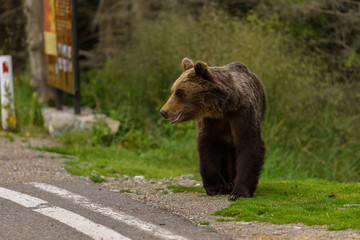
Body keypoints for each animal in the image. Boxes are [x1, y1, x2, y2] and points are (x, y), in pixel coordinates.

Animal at [160, 58, 264, 201]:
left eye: (179, 93)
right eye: (173, 90)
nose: (163, 112)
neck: (224, 108)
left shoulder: (242, 114)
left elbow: (248, 145)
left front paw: (238, 193)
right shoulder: (211, 121)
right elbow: (210, 146)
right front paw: (216, 187)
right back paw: (228, 183)